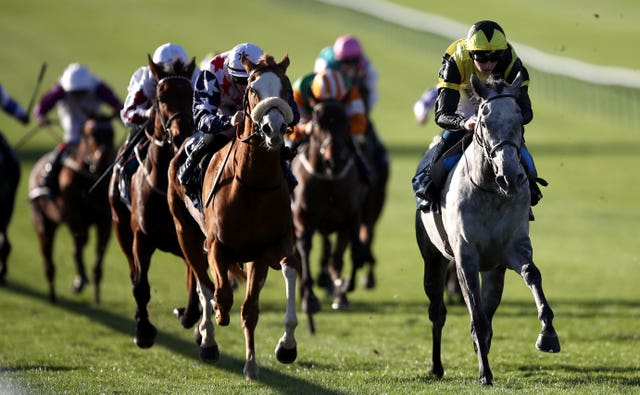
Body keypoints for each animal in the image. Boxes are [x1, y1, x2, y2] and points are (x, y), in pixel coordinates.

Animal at [29, 114, 115, 304]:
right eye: (89, 135)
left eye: (111, 134)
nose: (102, 161)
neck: (90, 180)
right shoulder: (74, 213)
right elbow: (80, 243)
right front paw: (79, 281)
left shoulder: (104, 220)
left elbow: (100, 249)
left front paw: (96, 294)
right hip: (42, 220)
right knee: (48, 257)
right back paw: (52, 294)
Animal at [107, 56, 200, 350]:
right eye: (161, 96)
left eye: (191, 94)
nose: (182, 134)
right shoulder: (141, 238)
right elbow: (140, 285)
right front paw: (144, 330)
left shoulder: (190, 236)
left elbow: (195, 283)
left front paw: (189, 316)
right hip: (120, 224)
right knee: (133, 272)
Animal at [169, 54, 302, 382]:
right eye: (253, 88)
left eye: (287, 88)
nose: (272, 128)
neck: (252, 185)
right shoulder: (218, 246)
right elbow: (221, 294)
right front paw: (214, 321)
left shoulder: (269, 250)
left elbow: (272, 289)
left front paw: (283, 348)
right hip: (185, 232)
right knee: (204, 284)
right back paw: (208, 340)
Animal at [290, 100, 364, 318]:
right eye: (317, 125)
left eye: (346, 125)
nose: (335, 161)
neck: (329, 180)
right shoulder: (301, 218)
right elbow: (304, 248)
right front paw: (310, 299)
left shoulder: (351, 218)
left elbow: (353, 253)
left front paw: (345, 288)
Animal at [416, 72, 560, 386]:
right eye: (483, 120)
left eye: (519, 120)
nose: (511, 176)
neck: (490, 190)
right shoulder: (465, 256)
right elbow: (475, 314)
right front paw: (485, 372)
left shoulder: (512, 247)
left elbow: (531, 273)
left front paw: (548, 335)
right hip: (433, 257)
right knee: (437, 311)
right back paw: (436, 366)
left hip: (494, 270)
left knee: (489, 306)